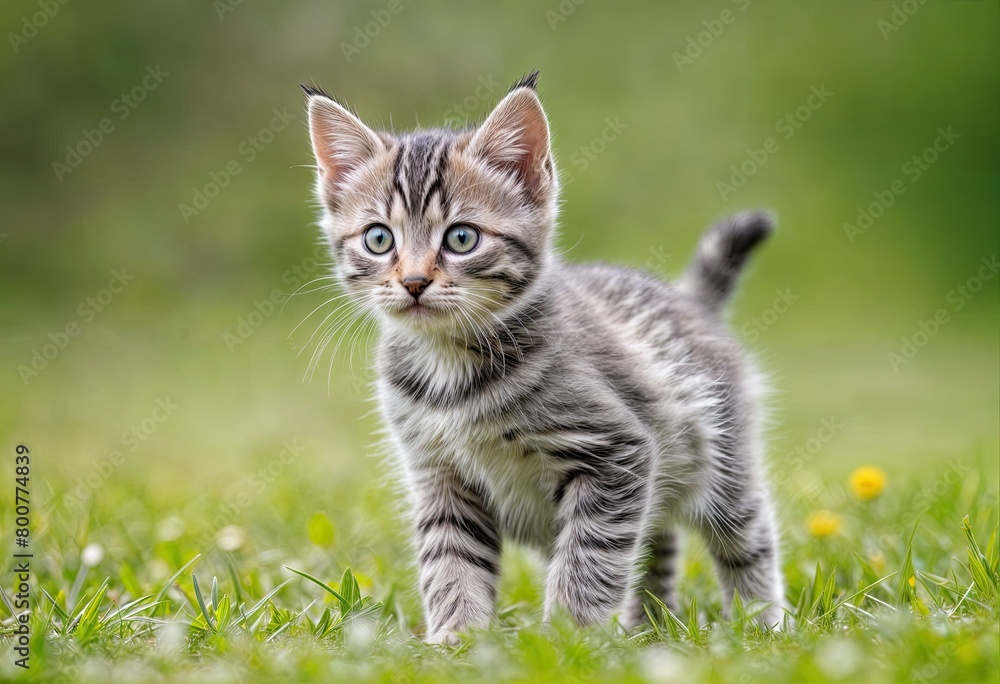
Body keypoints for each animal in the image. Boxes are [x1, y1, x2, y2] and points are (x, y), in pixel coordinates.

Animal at [300, 72, 784, 644]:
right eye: (379, 238)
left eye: (461, 237)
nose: (414, 281)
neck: (450, 367)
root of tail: (690, 301)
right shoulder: (439, 475)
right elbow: (451, 559)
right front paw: (458, 638)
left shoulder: (617, 453)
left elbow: (590, 555)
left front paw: (571, 638)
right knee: (657, 541)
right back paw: (647, 628)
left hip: (720, 461)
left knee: (746, 536)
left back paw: (761, 625)